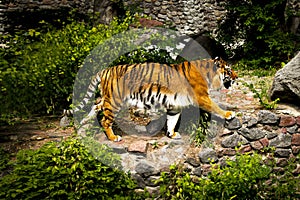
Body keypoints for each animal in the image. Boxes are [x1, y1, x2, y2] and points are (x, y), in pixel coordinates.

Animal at [67, 57, 238, 142]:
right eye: (229, 70)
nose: (237, 77)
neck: (209, 75)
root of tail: (105, 70)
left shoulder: (175, 105)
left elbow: (172, 120)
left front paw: (171, 134)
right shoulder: (202, 97)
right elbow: (215, 106)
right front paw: (229, 114)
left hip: (108, 99)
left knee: (97, 105)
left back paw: (84, 121)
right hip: (114, 101)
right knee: (105, 120)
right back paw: (113, 137)